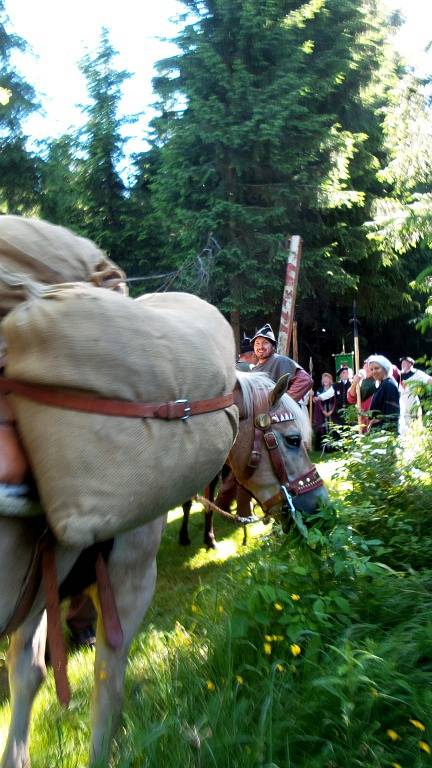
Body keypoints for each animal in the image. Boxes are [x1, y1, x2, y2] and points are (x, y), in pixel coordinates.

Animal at [0, 368, 324, 764]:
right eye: (292, 440)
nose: (318, 503)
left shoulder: (37, 592)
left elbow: (27, 674)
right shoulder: (129, 583)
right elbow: (107, 692)